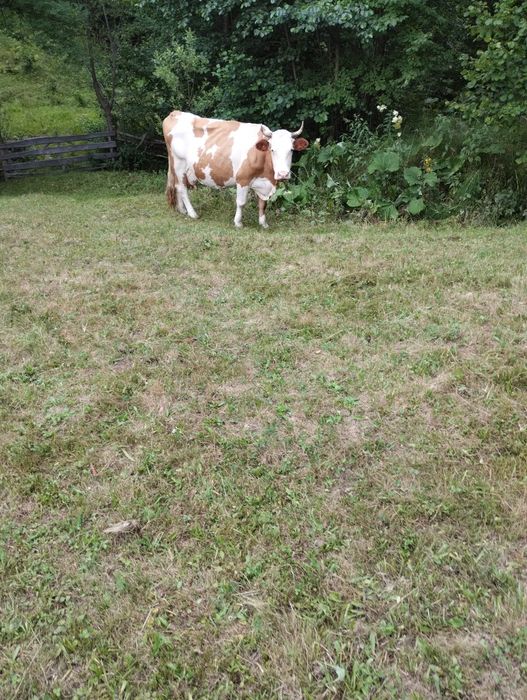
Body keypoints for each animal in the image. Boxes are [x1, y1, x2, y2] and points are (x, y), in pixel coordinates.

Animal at [162, 110, 309, 228]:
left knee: (177, 186)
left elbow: (263, 203)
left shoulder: (264, 183)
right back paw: (192, 213)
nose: (283, 174)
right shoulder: (243, 179)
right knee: (182, 188)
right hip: (178, 163)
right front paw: (238, 222)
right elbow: (241, 202)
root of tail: (175, 113)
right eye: (272, 149)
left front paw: (263, 223)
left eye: (291, 150)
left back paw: (182, 210)